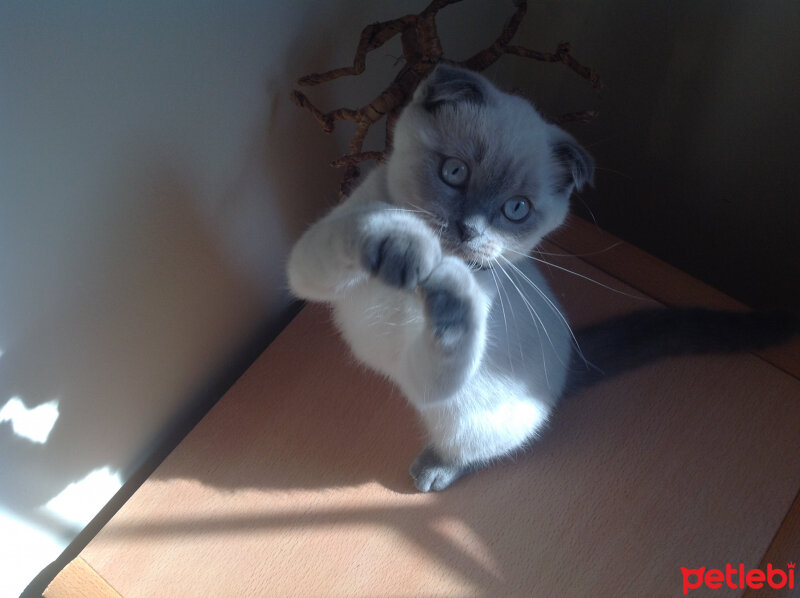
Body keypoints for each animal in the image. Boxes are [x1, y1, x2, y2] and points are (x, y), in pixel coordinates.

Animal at [286, 65, 792, 494]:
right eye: (455, 172)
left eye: (516, 209)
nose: (467, 230)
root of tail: (569, 365)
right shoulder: (311, 266)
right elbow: (364, 229)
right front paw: (407, 245)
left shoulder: (429, 379)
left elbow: (458, 314)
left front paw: (450, 273)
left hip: (462, 417)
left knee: (469, 451)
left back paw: (433, 471)